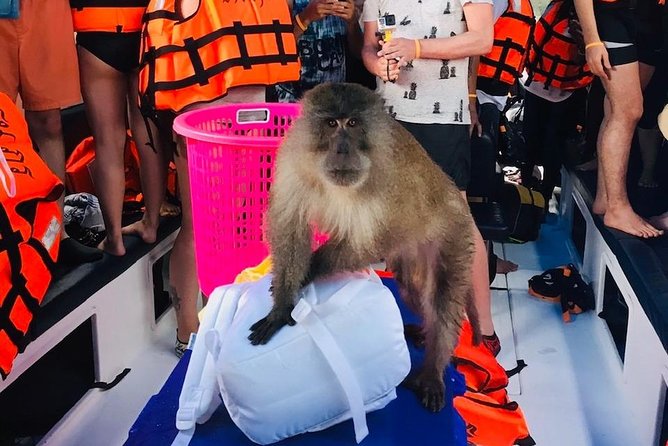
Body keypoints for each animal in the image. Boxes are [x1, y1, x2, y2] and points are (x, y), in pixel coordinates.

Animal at [248, 82, 480, 413]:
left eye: (354, 123)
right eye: (332, 124)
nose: (343, 149)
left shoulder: (391, 182)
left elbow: (372, 241)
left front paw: (309, 273)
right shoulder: (293, 161)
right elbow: (290, 227)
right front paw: (282, 305)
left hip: (455, 235)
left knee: (442, 297)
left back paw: (433, 370)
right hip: (413, 254)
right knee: (412, 287)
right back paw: (423, 332)